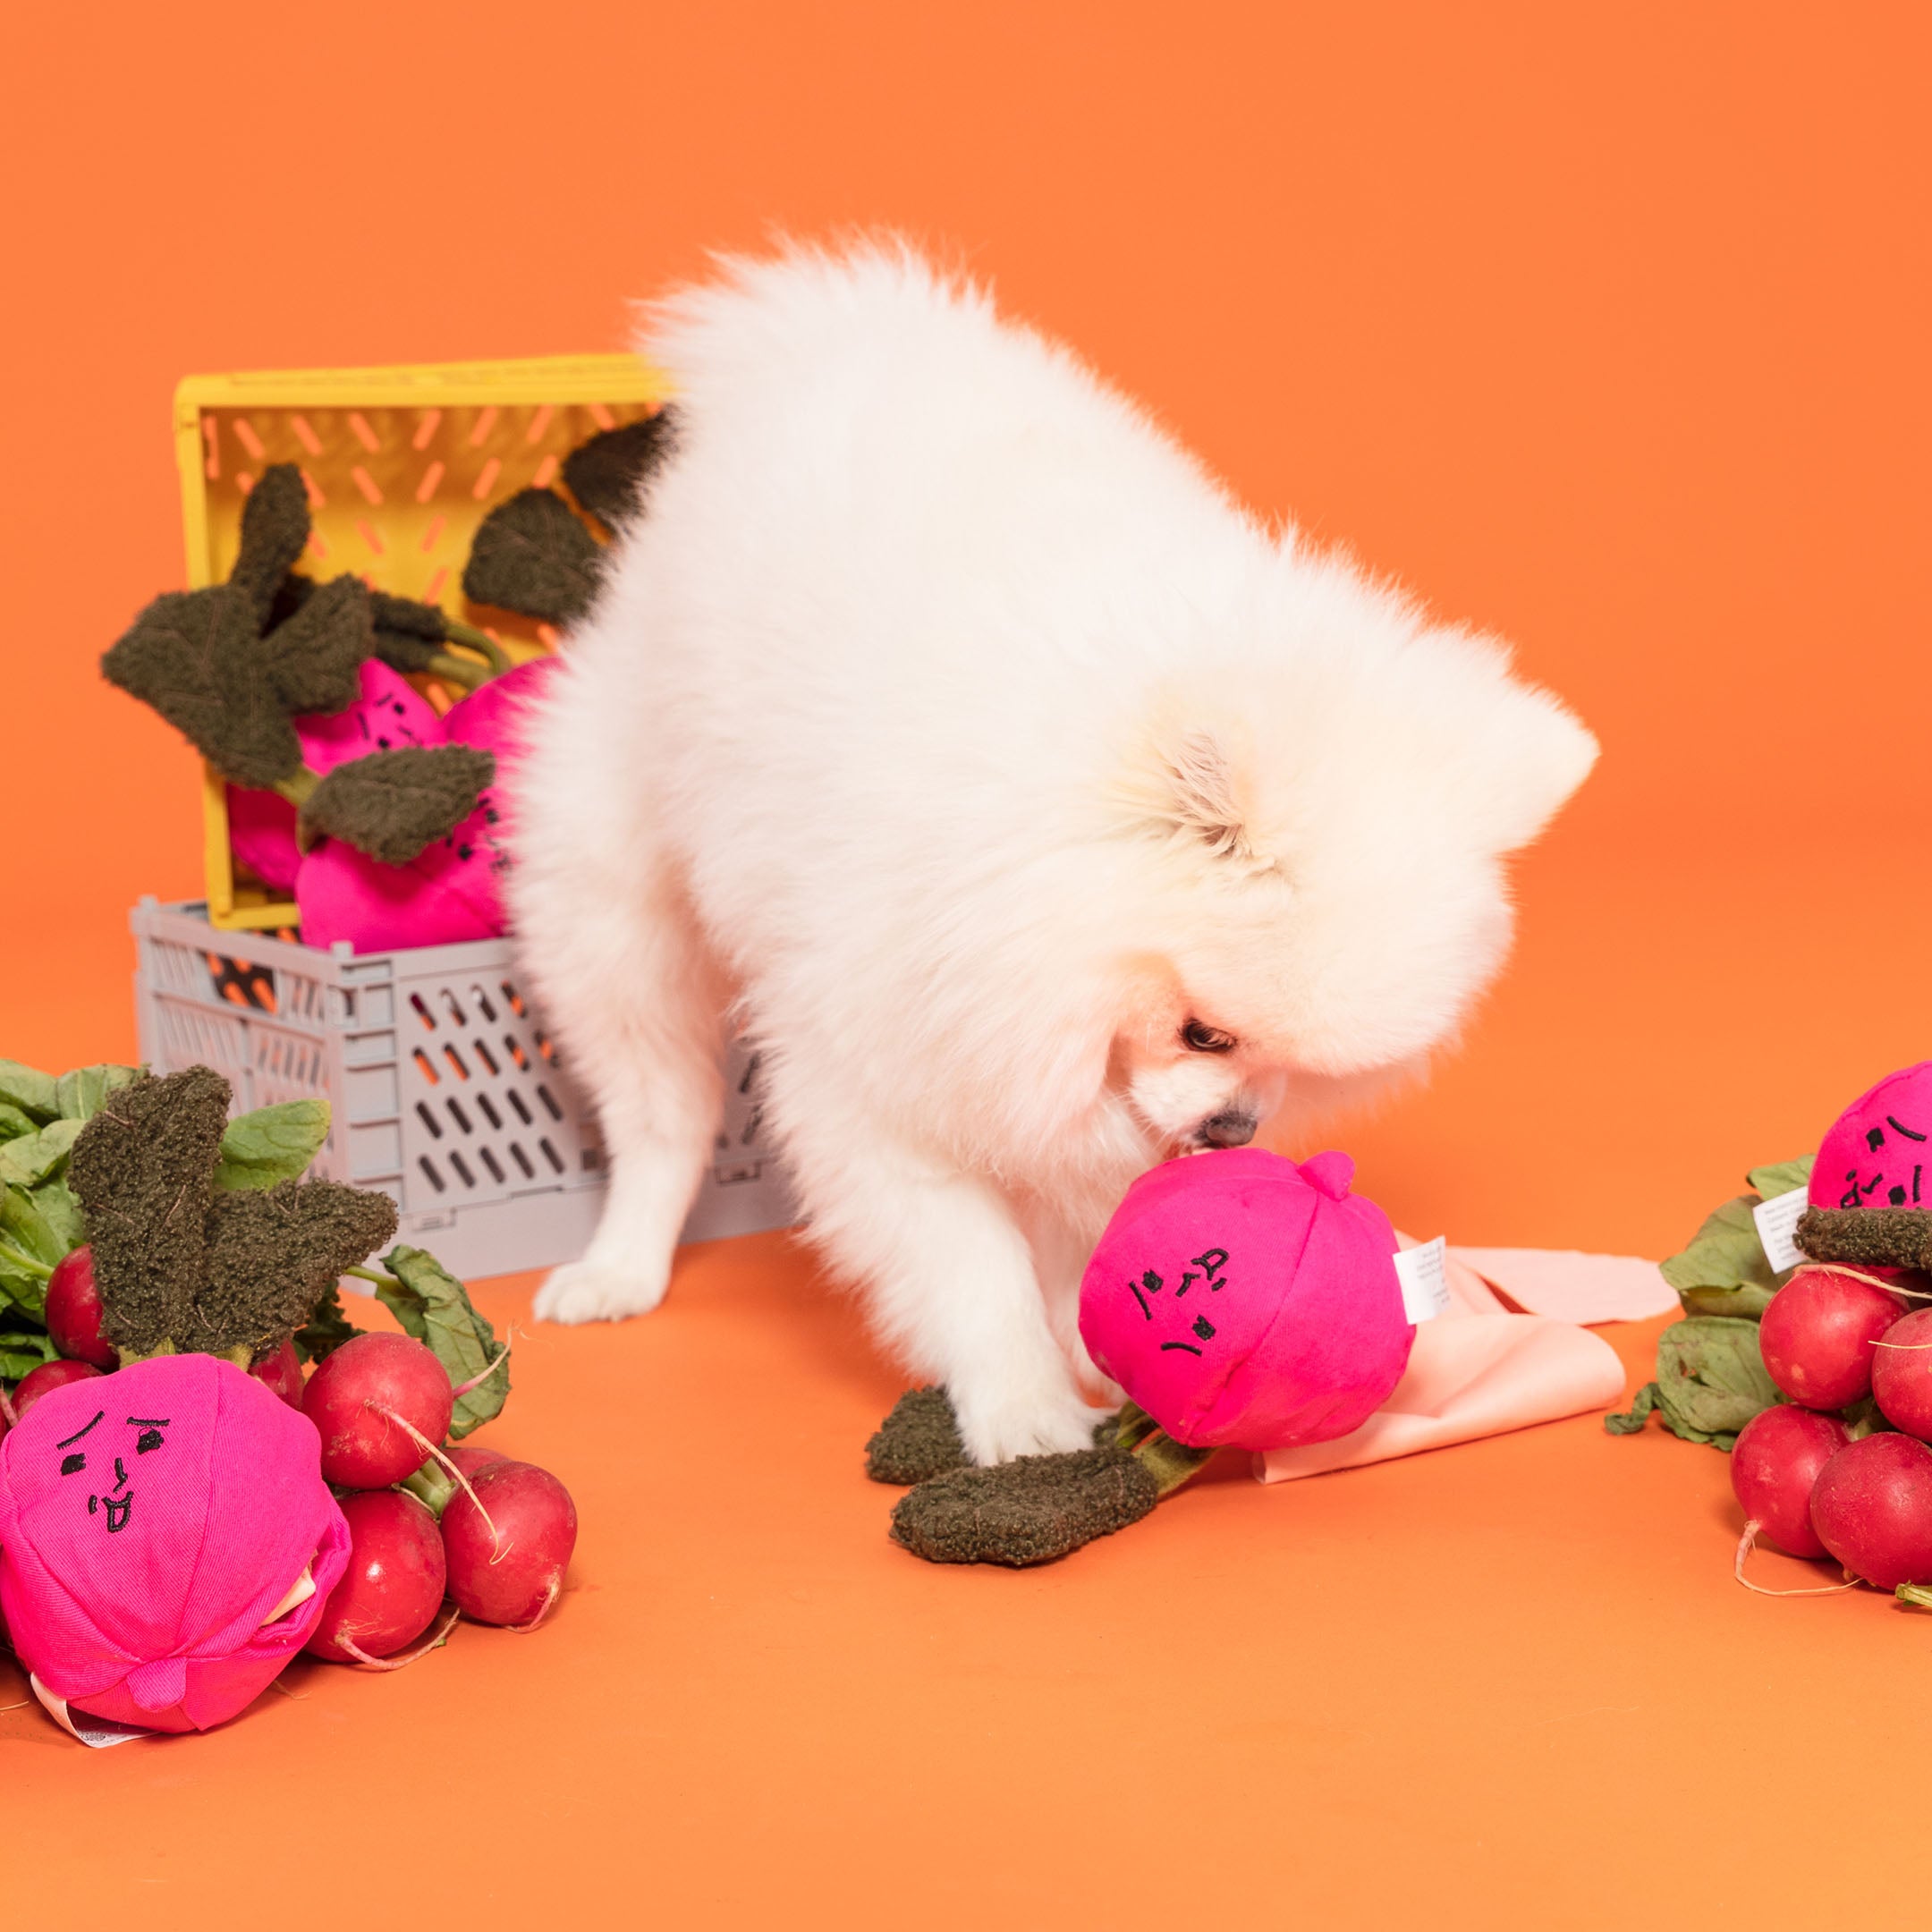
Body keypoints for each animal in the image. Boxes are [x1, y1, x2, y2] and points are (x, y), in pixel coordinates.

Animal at [505, 237, 1591, 1460]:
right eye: (1206, 1032)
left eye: (1298, 1070)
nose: (1234, 1130)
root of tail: (853, 332)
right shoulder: (886, 1062)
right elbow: (970, 1266)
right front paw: (1023, 1409)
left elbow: (1078, 1231)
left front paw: (1090, 1350)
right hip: (613, 897)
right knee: (661, 1110)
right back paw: (619, 1267)